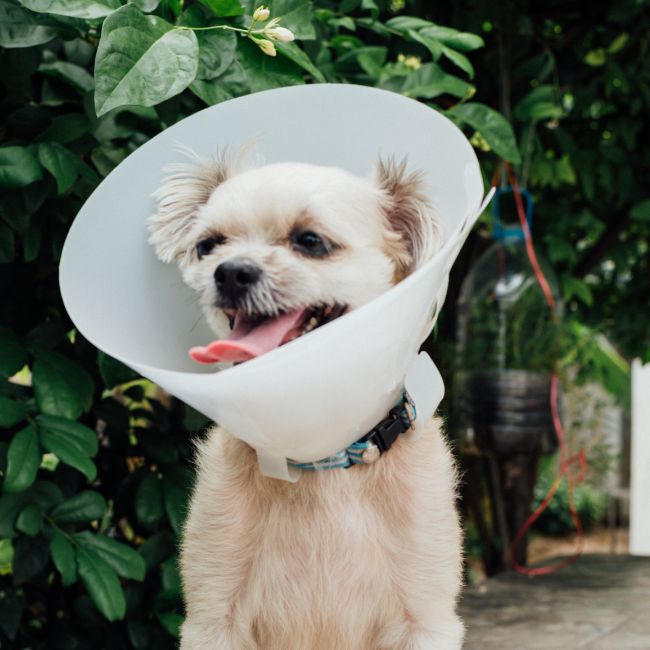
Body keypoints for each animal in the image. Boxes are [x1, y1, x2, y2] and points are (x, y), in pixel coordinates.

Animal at [148, 153, 460, 648]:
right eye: (208, 245)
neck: (323, 462)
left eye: (310, 241)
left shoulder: (425, 619)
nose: (230, 271)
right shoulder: (214, 620)